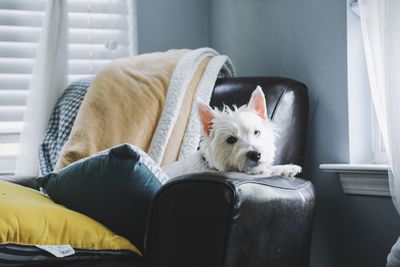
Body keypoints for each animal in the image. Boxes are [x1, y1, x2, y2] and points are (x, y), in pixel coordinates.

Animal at [164, 87, 302, 179]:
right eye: (231, 139)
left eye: (257, 132)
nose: (256, 154)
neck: (210, 165)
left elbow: (266, 168)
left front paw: (288, 168)